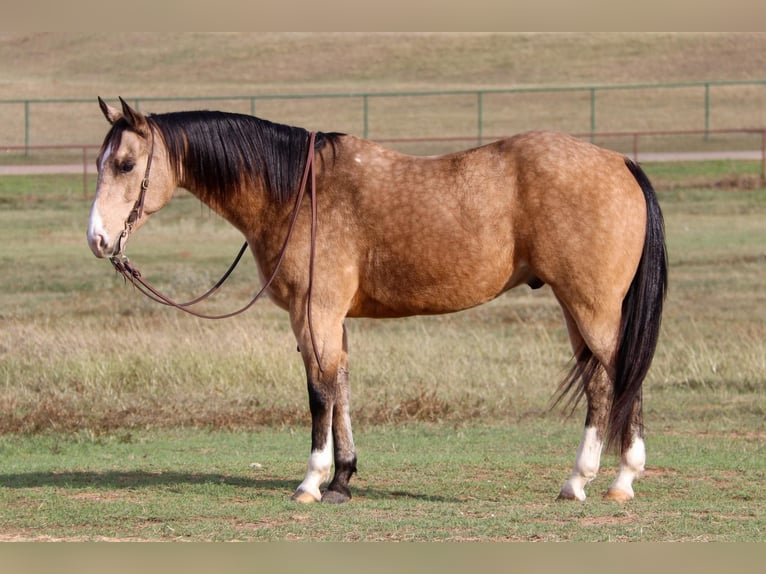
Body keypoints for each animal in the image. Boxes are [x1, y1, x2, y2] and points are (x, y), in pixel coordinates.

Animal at [88, 98, 664, 504]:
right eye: (101, 161)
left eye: (125, 164)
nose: (97, 239)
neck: (295, 191)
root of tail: (620, 162)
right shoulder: (329, 319)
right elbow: (340, 386)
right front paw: (342, 479)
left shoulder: (314, 314)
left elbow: (319, 392)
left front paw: (312, 481)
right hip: (576, 309)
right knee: (600, 385)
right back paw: (579, 482)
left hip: (592, 308)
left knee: (622, 377)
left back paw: (619, 480)